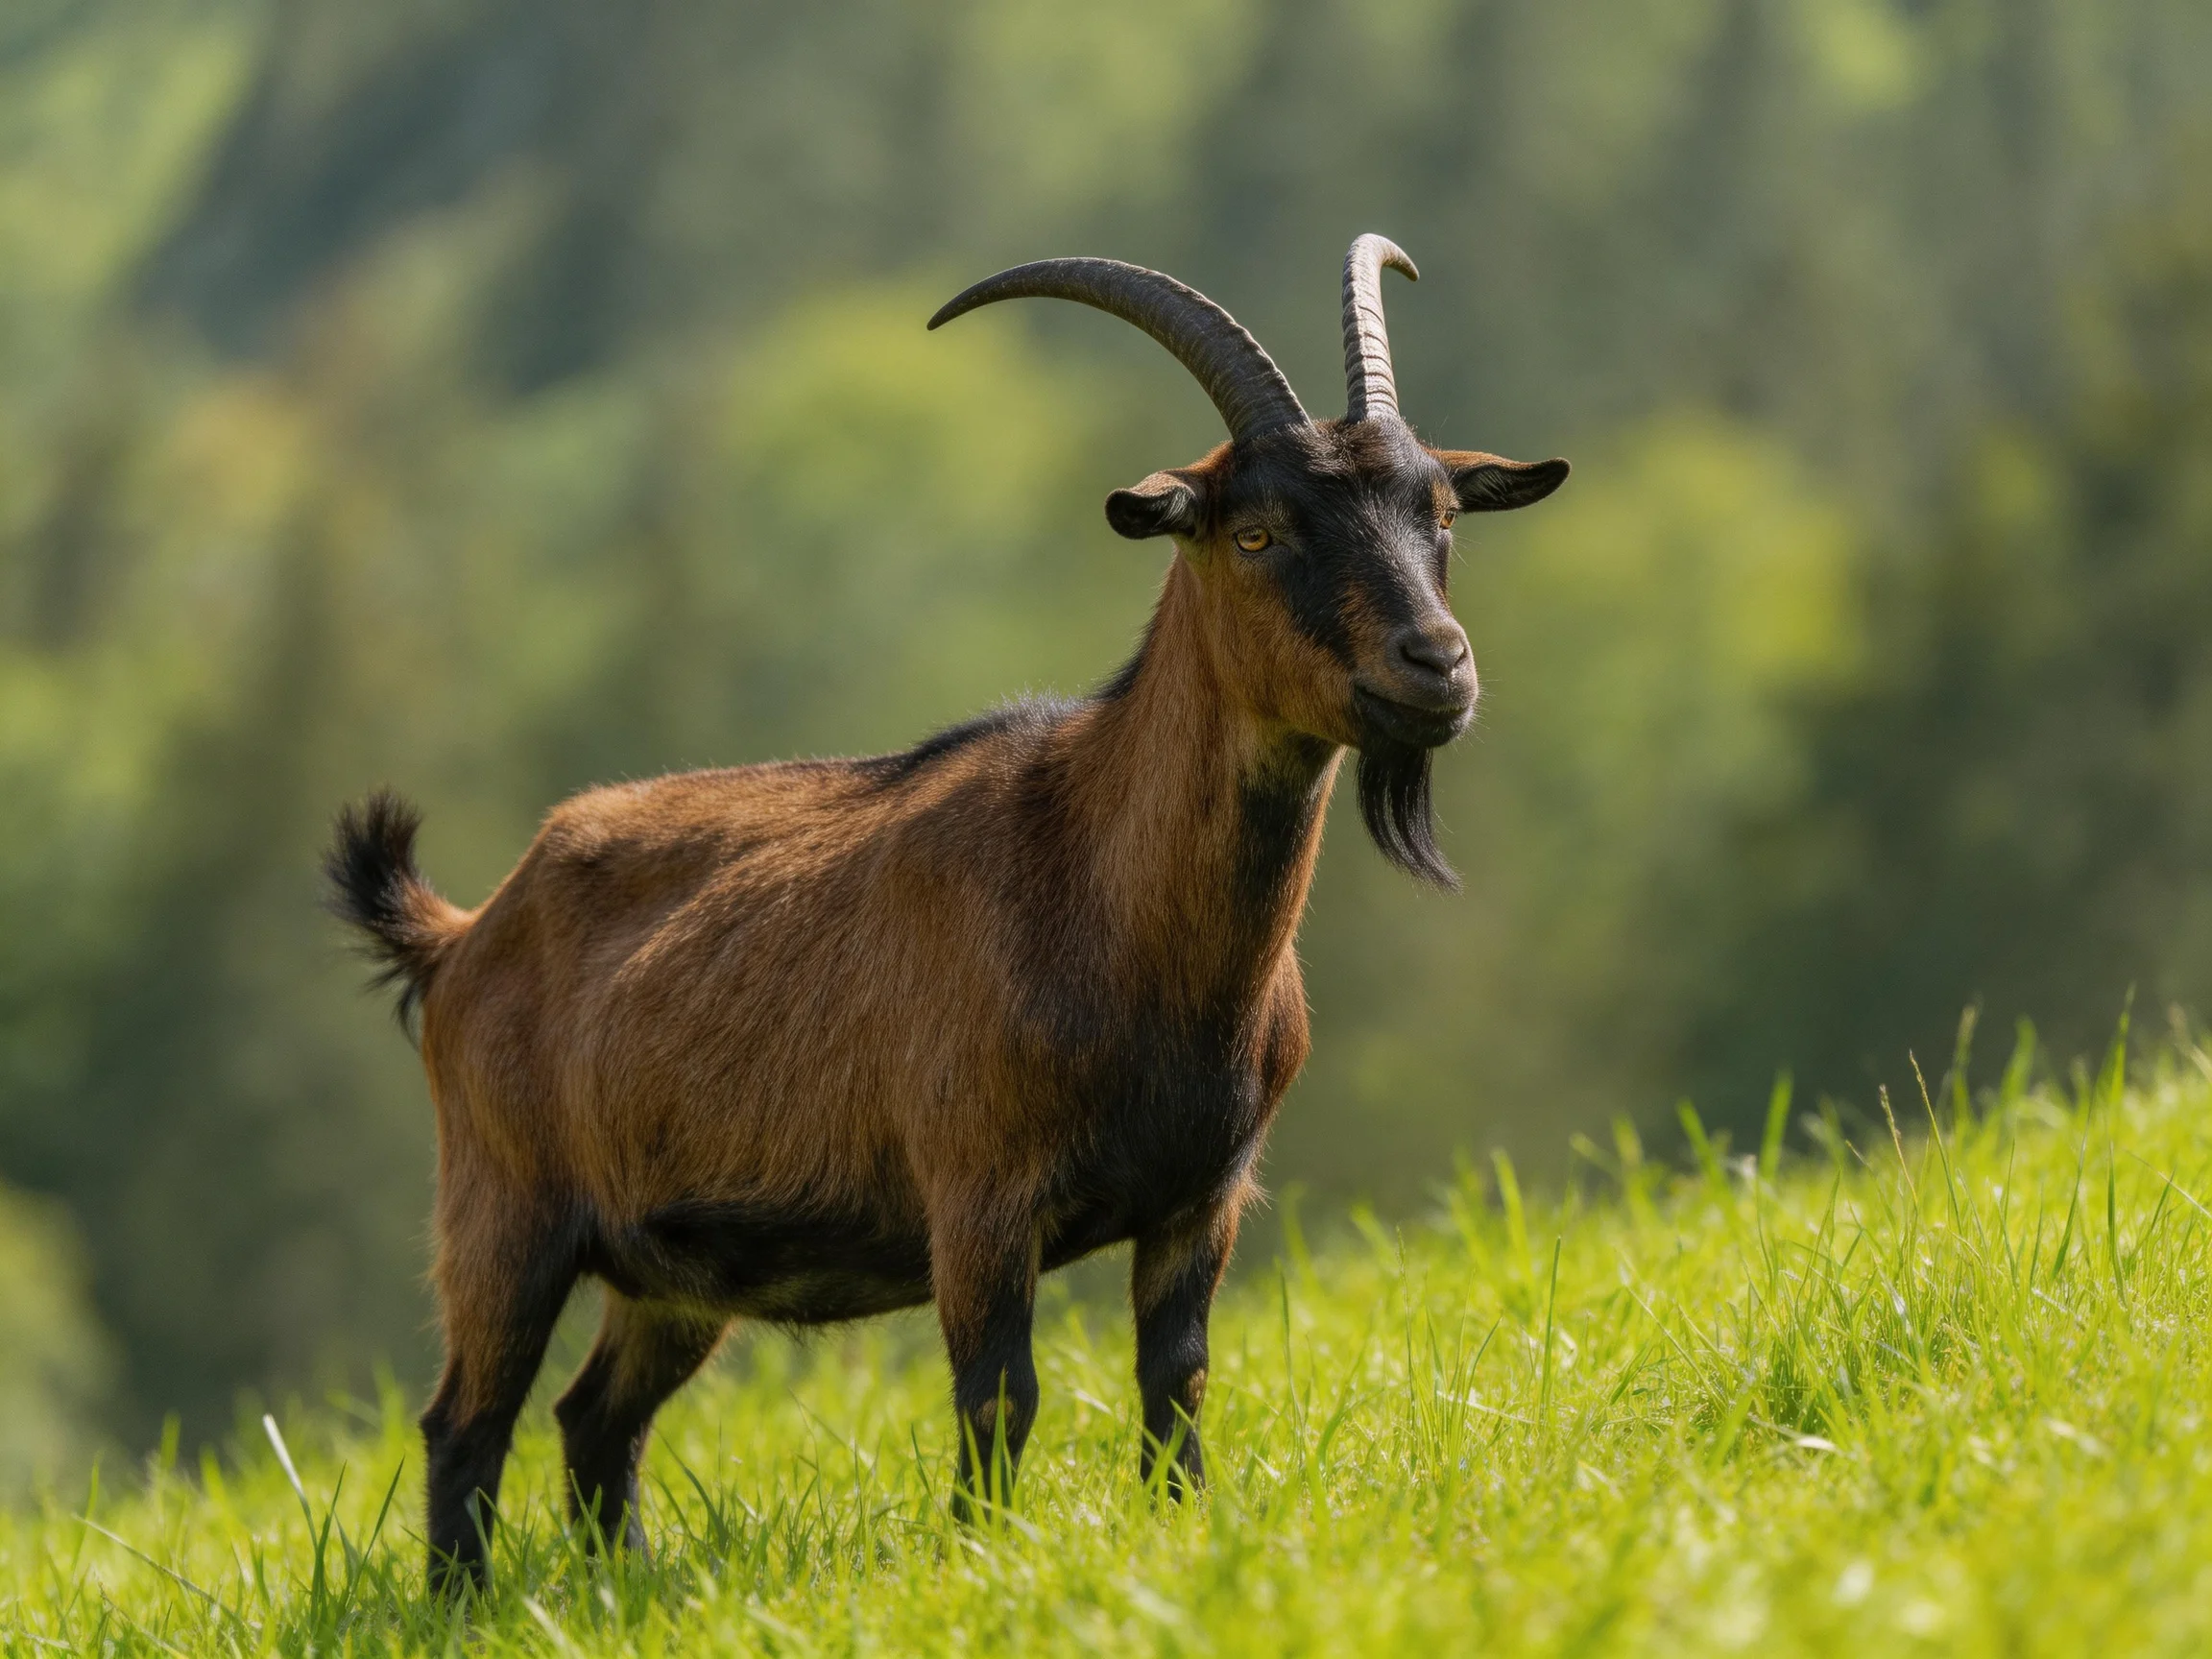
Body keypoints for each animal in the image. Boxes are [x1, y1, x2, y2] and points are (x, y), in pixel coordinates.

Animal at [327, 235, 1567, 1592]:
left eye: (1438, 516)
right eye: (1254, 532)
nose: (1436, 664)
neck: (1105, 897)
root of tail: (462, 934)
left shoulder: (1204, 1197)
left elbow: (1178, 1380)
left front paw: (1180, 1528)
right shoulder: (977, 1192)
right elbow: (999, 1393)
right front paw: (987, 1557)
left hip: (671, 1272)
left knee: (593, 1415)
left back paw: (619, 1583)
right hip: (503, 1211)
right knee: (467, 1419)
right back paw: (466, 1605)